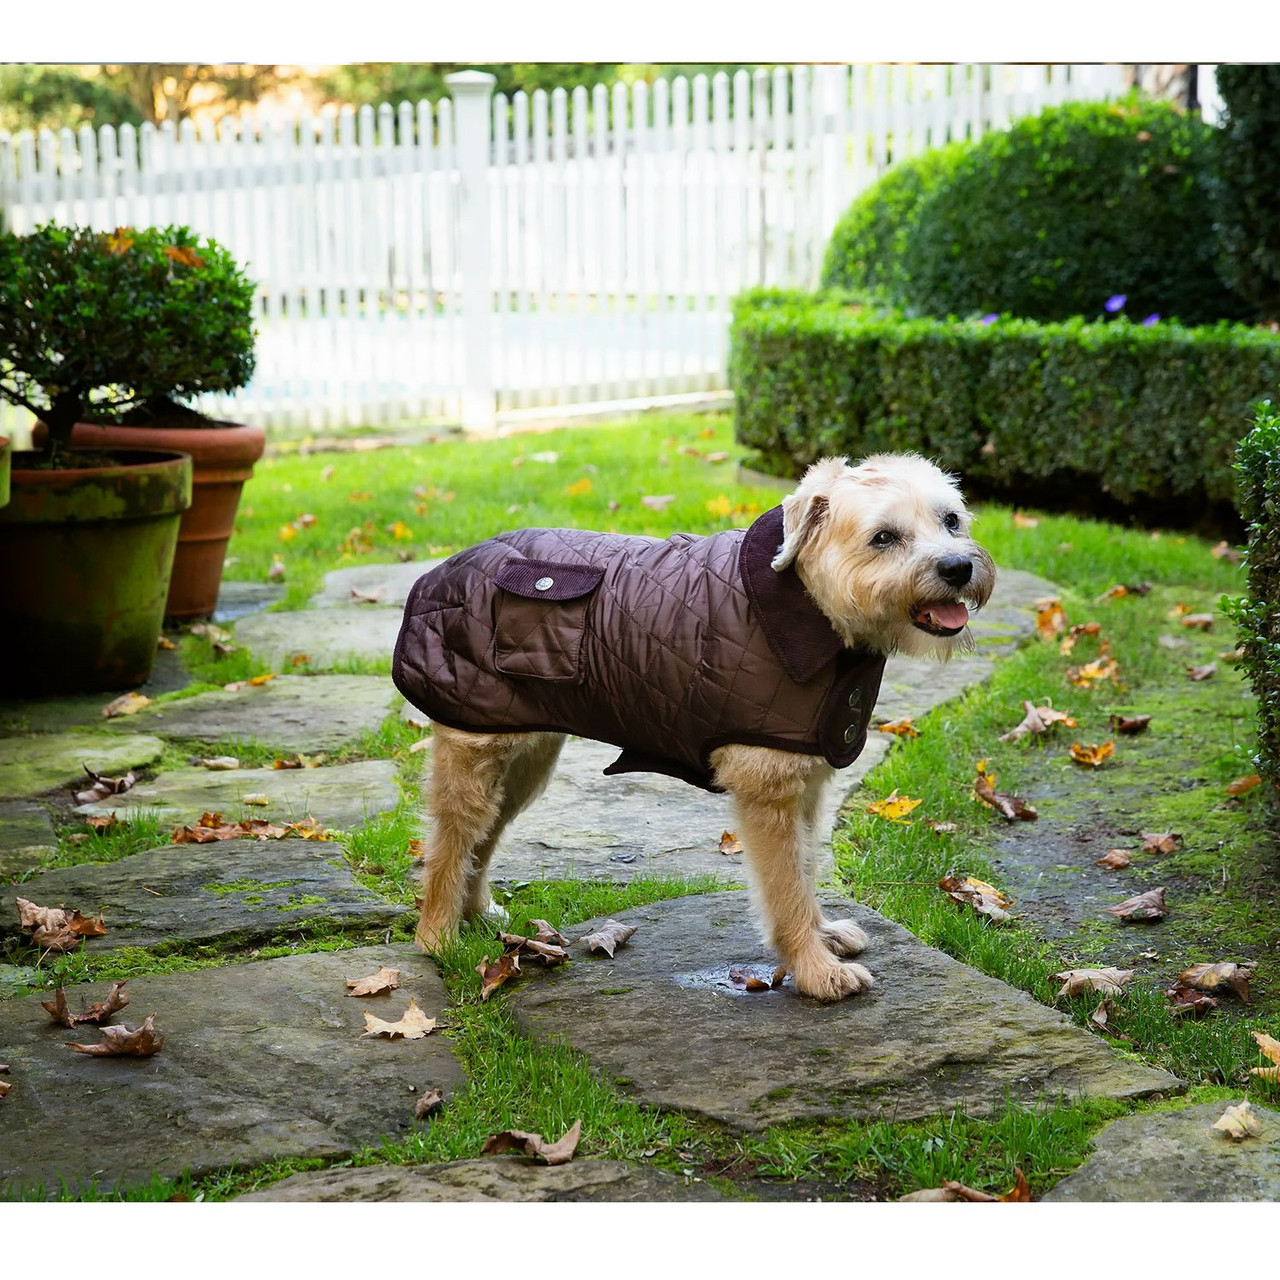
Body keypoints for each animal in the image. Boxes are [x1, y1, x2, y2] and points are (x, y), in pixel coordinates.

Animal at [391, 455, 998, 1003]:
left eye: (951, 520)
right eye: (884, 537)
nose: (957, 568)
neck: (807, 600)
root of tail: (443, 569)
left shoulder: (806, 787)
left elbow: (805, 870)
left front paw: (822, 937)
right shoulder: (769, 793)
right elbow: (786, 890)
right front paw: (814, 970)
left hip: (526, 763)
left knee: (484, 833)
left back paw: (476, 912)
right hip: (476, 751)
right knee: (451, 840)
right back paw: (438, 935)